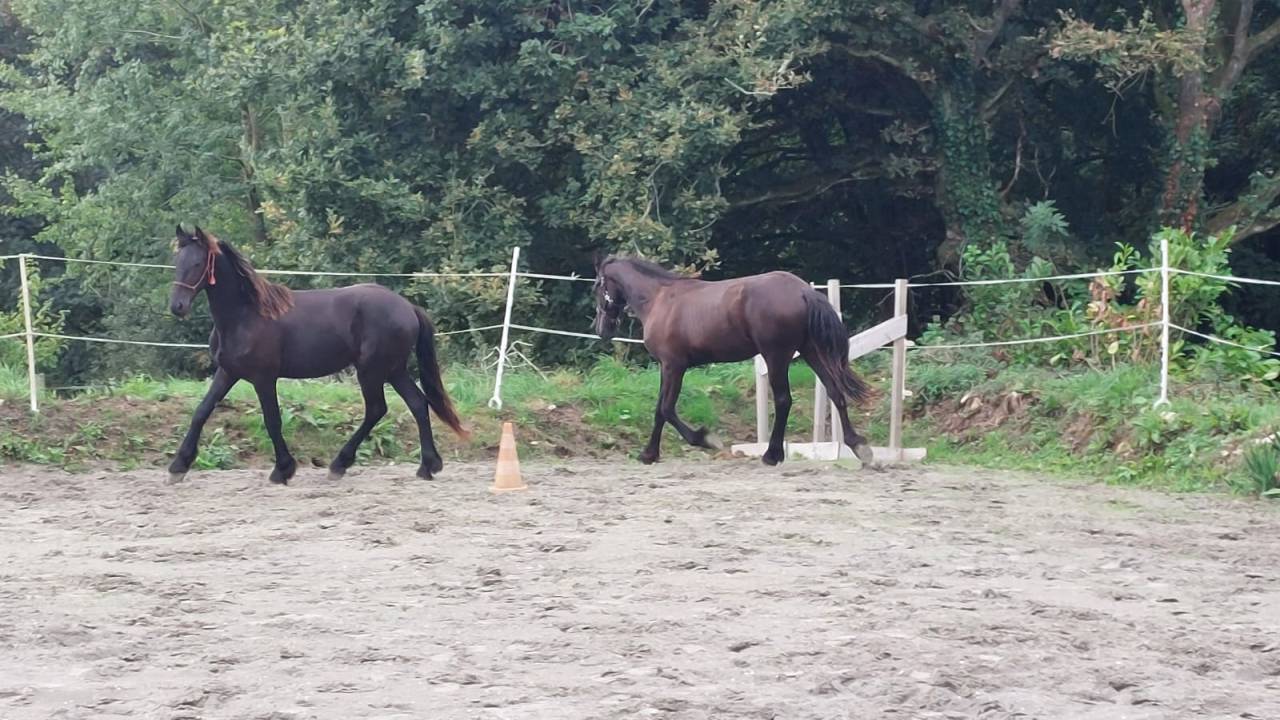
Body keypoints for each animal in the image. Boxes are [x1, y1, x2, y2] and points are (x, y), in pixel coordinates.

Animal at [167, 226, 468, 484]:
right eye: (177, 261)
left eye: (198, 264)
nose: (177, 306)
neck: (246, 315)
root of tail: (408, 307)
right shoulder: (228, 372)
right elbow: (201, 411)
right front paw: (178, 466)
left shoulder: (264, 378)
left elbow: (272, 421)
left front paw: (283, 469)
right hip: (393, 370)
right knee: (417, 403)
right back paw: (427, 466)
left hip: (371, 370)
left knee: (376, 409)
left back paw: (339, 464)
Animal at [591, 256, 875, 467]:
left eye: (599, 287)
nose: (602, 328)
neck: (659, 299)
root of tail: (803, 290)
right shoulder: (667, 367)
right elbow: (659, 409)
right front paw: (649, 454)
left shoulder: (673, 366)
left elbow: (666, 409)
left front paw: (705, 439)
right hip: (810, 352)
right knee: (835, 392)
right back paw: (859, 447)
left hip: (777, 356)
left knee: (784, 400)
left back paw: (772, 455)